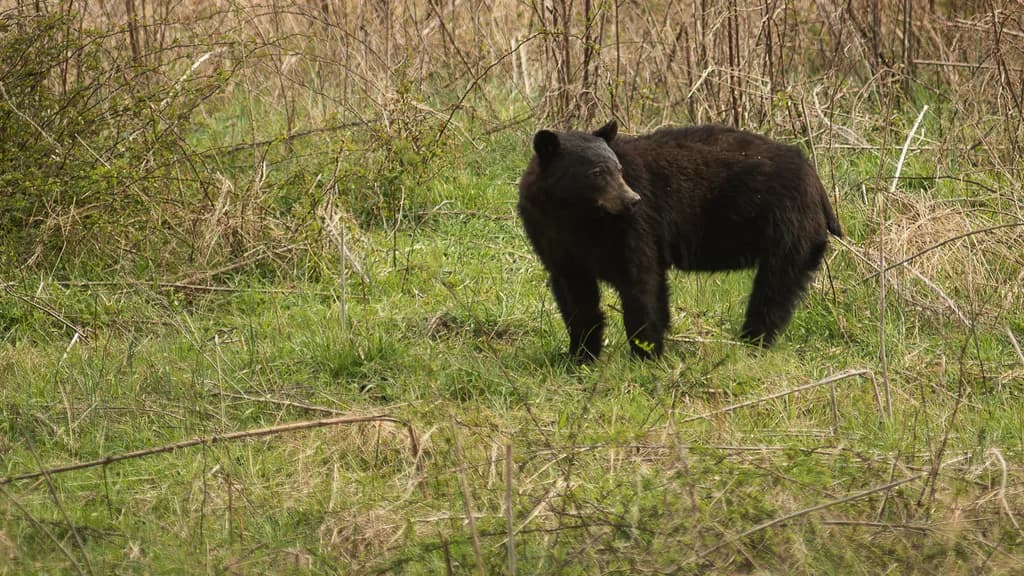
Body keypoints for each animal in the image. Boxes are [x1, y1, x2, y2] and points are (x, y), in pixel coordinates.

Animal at [517, 120, 842, 362]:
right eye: (597, 172)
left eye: (618, 169)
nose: (631, 200)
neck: (576, 217)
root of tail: (816, 180)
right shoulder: (552, 240)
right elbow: (576, 297)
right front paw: (580, 355)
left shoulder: (633, 228)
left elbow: (641, 282)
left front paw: (646, 354)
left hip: (788, 225)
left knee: (775, 288)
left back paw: (752, 341)